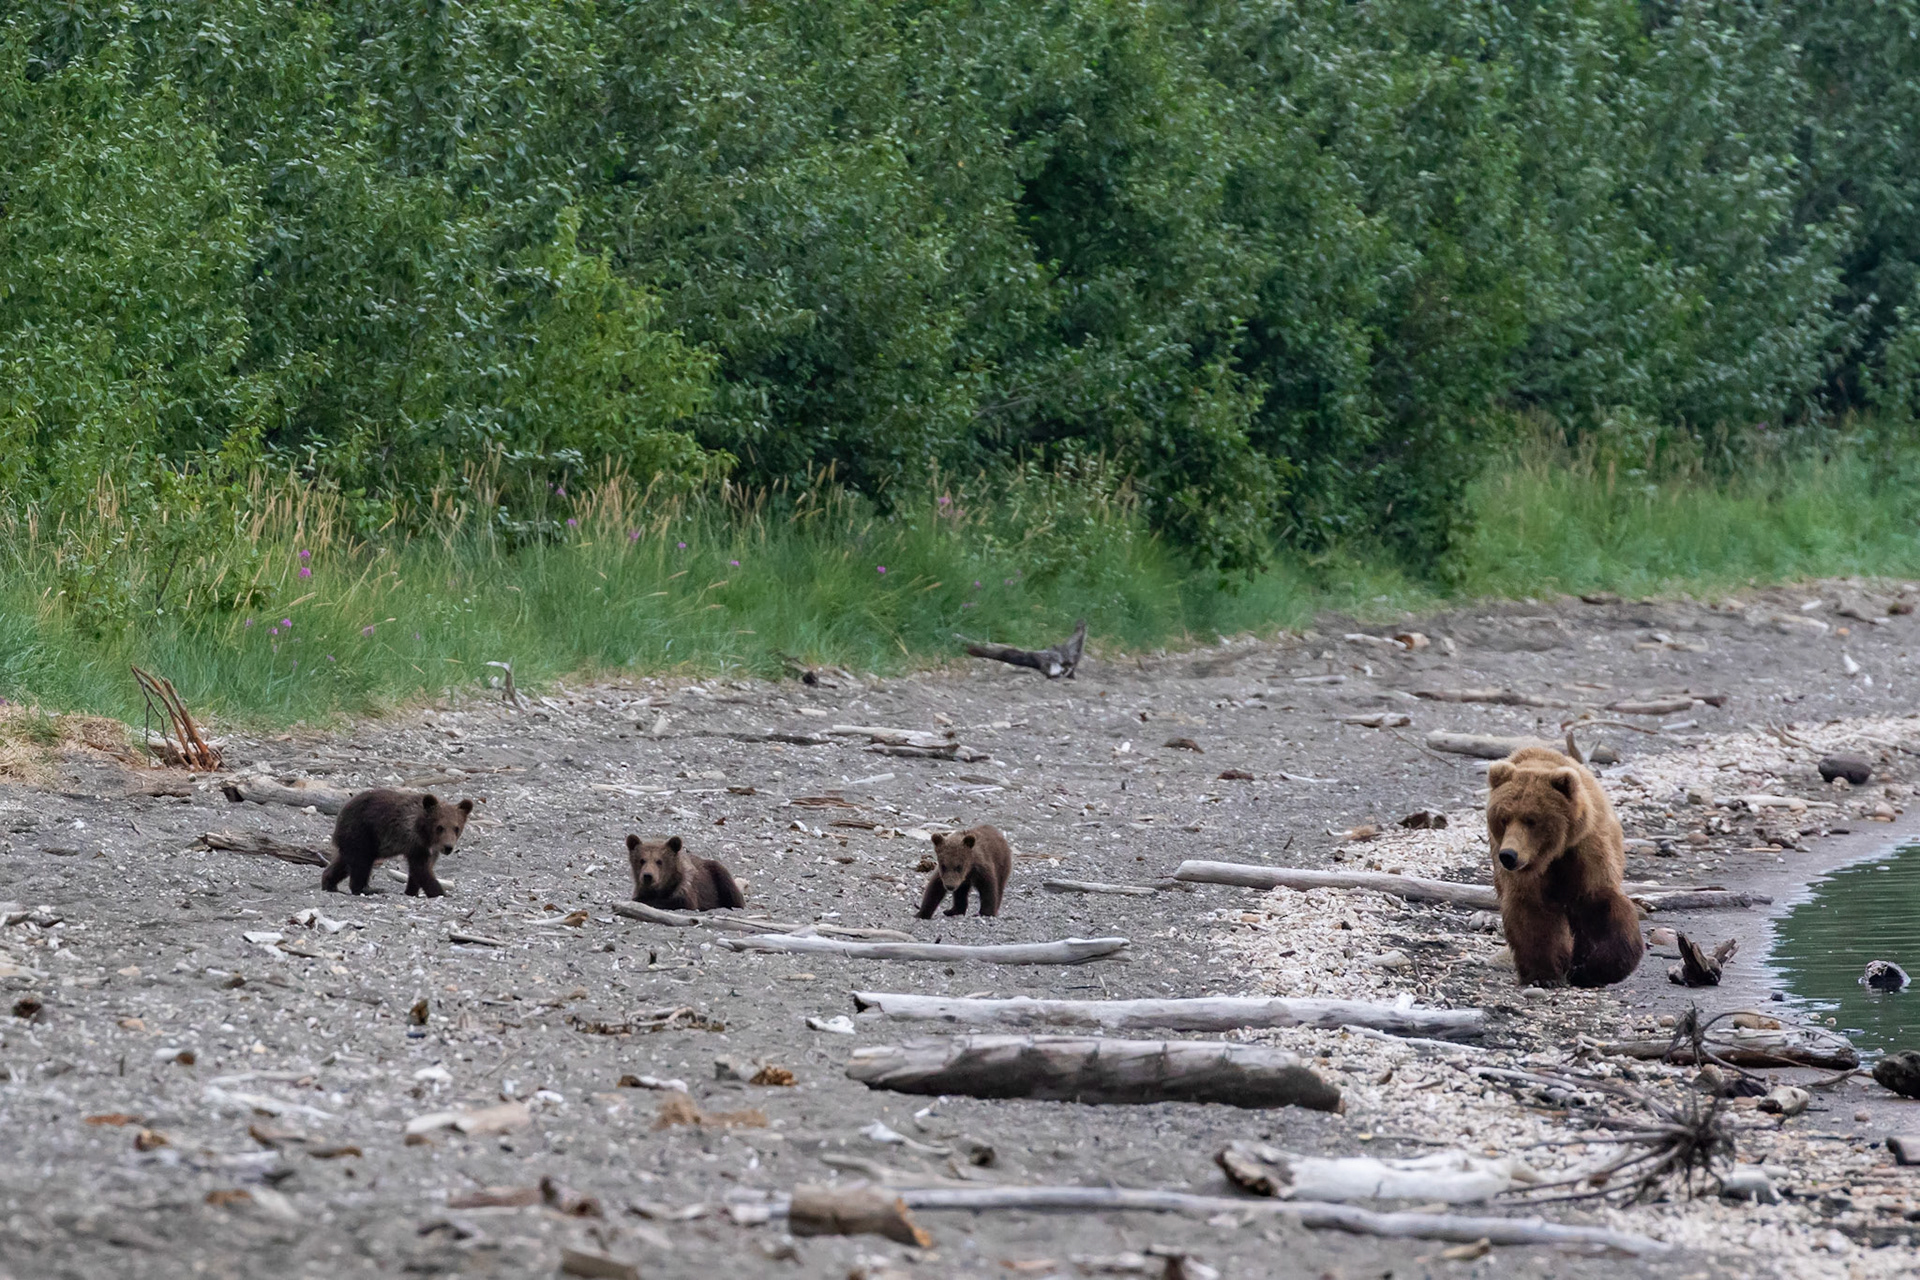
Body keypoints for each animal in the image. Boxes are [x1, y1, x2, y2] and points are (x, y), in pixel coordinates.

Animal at [322, 789, 474, 897]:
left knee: (344, 862)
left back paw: (329, 884)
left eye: (456, 828)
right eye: (440, 827)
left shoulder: (429, 849)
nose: (448, 847)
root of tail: (341, 813)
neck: (425, 833)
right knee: (362, 862)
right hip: (363, 833)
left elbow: (419, 870)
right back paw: (369, 888)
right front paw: (441, 892)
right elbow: (422, 870)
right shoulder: (415, 843)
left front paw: (412, 891)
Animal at [1485, 747, 1644, 988]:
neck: (1553, 853)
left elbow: (1599, 904)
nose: (1509, 855)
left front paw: (1592, 970)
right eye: (1504, 818)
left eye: (1531, 819)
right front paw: (1543, 974)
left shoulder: (1586, 850)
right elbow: (1532, 913)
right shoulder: (1527, 873)